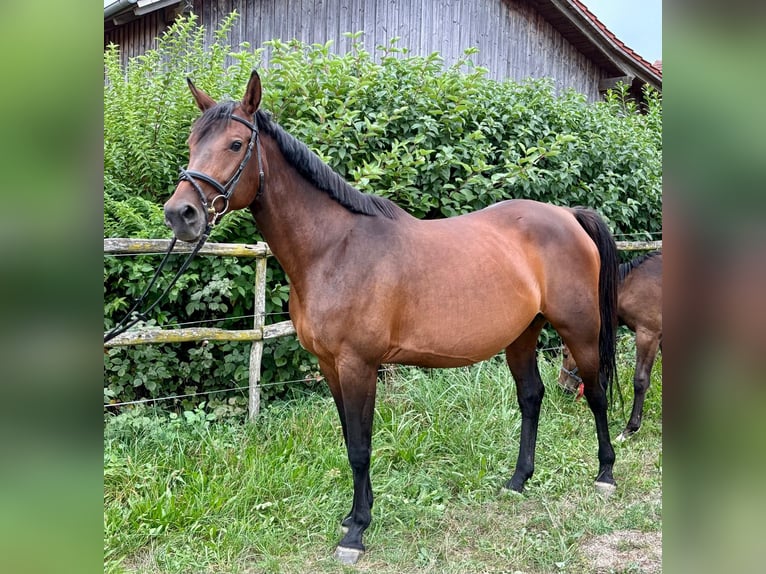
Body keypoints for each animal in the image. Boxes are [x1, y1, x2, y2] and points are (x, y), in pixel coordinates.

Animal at [165, 72, 620, 568]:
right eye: (191, 142)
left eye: (235, 144)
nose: (180, 214)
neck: (335, 249)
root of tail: (567, 215)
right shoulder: (330, 365)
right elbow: (350, 441)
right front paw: (353, 516)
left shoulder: (359, 365)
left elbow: (361, 448)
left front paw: (356, 533)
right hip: (522, 334)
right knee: (531, 397)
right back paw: (518, 481)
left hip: (579, 329)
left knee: (596, 393)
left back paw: (605, 473)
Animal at [560, 250, 664, 444]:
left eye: (565, 355)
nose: (562, 387)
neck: (632, 285)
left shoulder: (648, 334)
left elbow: (640, 381)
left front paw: (629, 429)